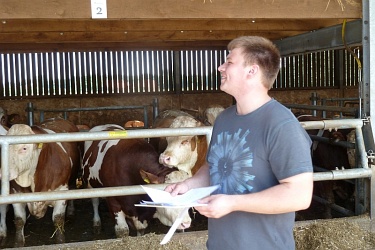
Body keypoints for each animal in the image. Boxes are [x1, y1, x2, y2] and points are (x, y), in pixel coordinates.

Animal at [5, 117, 81, 246]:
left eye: (24, 148)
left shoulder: (61, 192)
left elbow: (58, 220)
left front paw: (61, 242)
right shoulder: (16, 194)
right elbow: (19, 221)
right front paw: (18, 244)